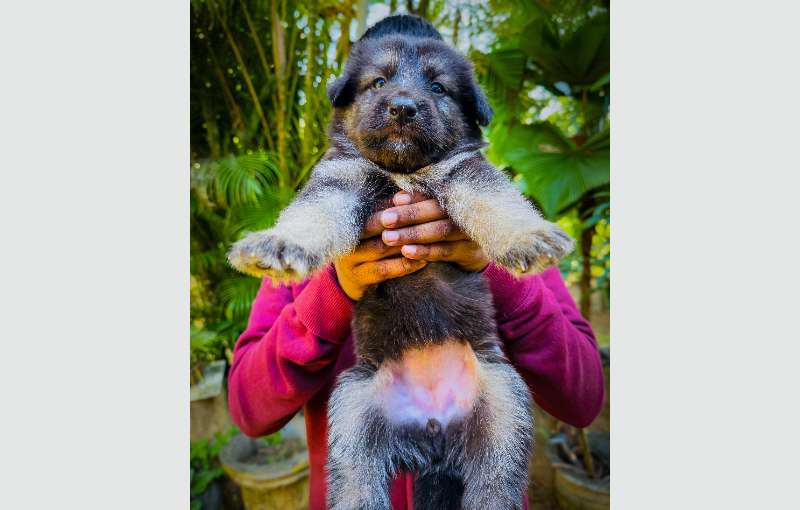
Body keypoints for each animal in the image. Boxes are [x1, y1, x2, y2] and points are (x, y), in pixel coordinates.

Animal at [231, 13, 576, 508]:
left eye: (437, 87)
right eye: (378, 82)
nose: (402, 108)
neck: (404, 171)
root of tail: (432, 430)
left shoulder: (468, 171)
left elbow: (497, 204)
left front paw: (530, 235)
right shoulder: (340, 177)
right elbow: (313, 216)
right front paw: (278, 243)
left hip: (504, 411)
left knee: (495, 483)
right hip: (353, 421)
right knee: (357, 485)